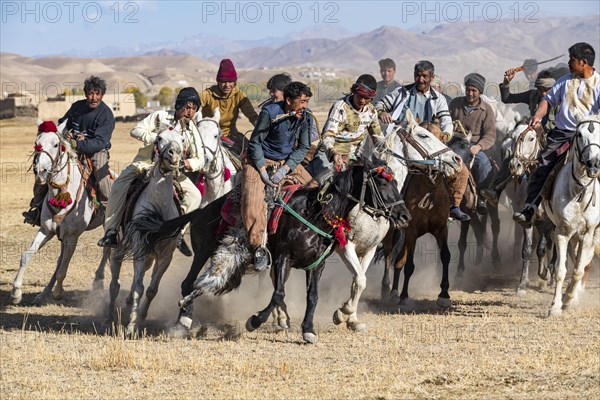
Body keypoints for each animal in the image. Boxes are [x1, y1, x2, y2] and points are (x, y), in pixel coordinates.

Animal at [11, 121, 109, 304]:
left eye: (56, 144)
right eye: (36, 143)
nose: (40, 171)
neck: (61, 194)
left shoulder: (72, 237)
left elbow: (63, 268)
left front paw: (58, 292)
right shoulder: (47, 230)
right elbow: (27, 256)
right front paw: (16, 292)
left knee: (108, 249)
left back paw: (98, 281)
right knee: (60, 261)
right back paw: (43, 293)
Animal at [104, 128, 185, 334]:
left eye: (182, 139)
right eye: (159, 138)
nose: (174, 154)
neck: (158, 208)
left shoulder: (165, 256)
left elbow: (151, 290)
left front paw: (140, 319)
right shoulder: (140, 248)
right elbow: (139, 289)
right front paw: (131, 326)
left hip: (148, 257)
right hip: (117, 250)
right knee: (114, 284)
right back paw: (108, 319)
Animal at [152, 159, 410, 344]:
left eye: (397, 183)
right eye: (383, 183)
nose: (405, 216)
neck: (316, 214)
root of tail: (201, 211)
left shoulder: (317, 264)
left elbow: (313, 295)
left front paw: (309, 329)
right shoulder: (284, 257)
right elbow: (278, 293)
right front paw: (255, 321)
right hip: (205, 252)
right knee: (189, 283)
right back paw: (183, 321)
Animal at [548, 115, 600, 316]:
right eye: (579, 134)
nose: (593, 164)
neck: (579, 193)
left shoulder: (588, 233)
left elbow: (578, 269)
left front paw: (569, 298)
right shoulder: (562, 232)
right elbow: (560, 271)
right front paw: (555, 306)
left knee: (584, 262)